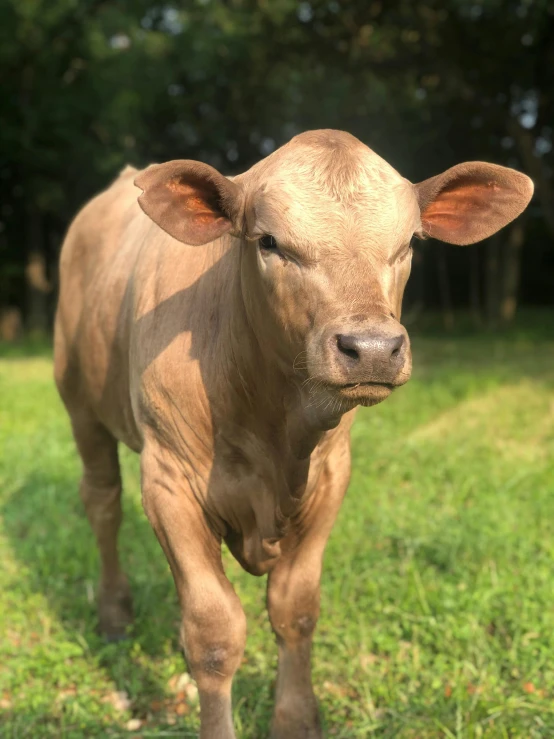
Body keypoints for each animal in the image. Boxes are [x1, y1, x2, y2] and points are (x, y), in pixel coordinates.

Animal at [52, 130, 532, 736]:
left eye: (407, 244)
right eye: (269, 242)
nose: (372, 348)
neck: (274, 426)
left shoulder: (330, 476)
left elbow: (295, 609)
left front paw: (298, 718)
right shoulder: (168, 480)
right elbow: (213, 633)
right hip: (78, 402)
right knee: (103, 503)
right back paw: (114, 613)